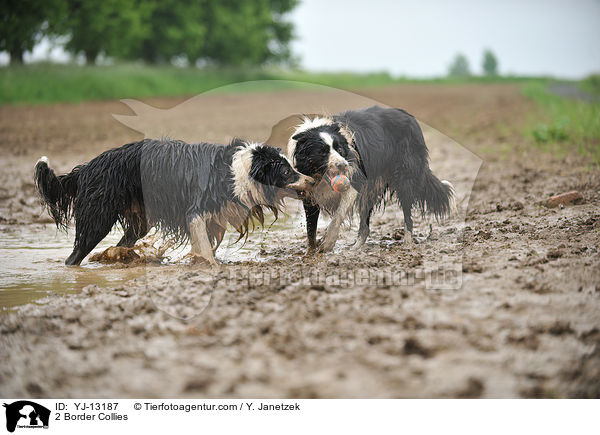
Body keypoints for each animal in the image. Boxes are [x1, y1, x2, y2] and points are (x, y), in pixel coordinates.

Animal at [34, 139, 314, 266]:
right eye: (286, 172)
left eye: (292, 167)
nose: (312, 181)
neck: (238, 170)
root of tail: (85, 169)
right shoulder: (195, 211)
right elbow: (204, 247)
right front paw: (212, 267)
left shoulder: (215, 219)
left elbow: (207, 245)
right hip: (97, 217)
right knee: (75, 254)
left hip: (140, 221)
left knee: (124, 241)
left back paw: (121, 257)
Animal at [288, 106, 454, 254]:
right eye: (322, 153)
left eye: (339, 149)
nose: (342, 165)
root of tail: (410, 117)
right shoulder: (310, 192)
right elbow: (311, 229)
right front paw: (310, 253)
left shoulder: (354, 181)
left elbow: (338, 216)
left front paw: (327, 243)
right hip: (371, 189)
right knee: (365, 225)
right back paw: (355, 247)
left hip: (404, 178)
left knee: (407, 214)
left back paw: (407, 243)